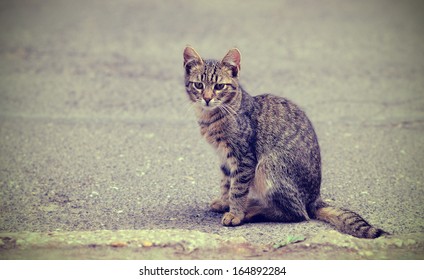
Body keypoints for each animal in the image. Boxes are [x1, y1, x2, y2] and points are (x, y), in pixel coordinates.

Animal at [182, 46, 388, 238]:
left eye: (219, 87)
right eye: (199, 85)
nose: (207, 98)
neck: (211, 117)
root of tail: (314, 199)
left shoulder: (244, 158)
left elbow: (237, 189)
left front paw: (235, 213)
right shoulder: (224, 157)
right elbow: (226, 183)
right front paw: (225, 202)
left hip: (268, 167)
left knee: (298, 214)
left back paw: (252, 211)